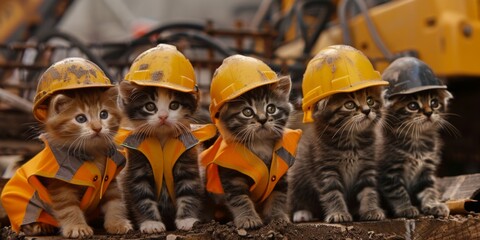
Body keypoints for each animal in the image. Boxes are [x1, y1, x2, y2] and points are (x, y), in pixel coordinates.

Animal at [0, 87, 132, 237]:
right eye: (80, 118)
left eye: (104, 114)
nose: (97, 128)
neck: (92, 153)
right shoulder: (60, 186)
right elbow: (69, 208)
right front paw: (77, 227)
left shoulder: (109, 182)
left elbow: (115, 202)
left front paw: (117, 223)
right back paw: (40, 225)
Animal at [118, 81, 204, 233]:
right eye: (150, 106)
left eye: (174, 105)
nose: (163, 116)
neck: (162, 138)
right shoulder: (136, 167)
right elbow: (142, 197)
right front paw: (151, 223)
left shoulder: (188, 161)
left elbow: (189, 191)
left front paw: (187, 220)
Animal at [209, 76, 294, 229]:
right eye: (247, 112)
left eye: (271, 108)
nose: (262, 119)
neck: (260, 144)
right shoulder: (233, 178)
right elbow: (240, 199)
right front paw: (248, 218)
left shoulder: (279, 176)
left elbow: (278, 197)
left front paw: (278, 217)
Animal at [288, 86, 386, 223]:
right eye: (349, 105)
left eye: (370, 101)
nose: (367, 110)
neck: (351, 142)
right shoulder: (325, 169)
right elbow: (332, 193)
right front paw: (338, 213)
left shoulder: (367, 167)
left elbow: (368, 190)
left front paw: (371, 210)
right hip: (297, 176)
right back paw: (302, 213)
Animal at [378, 89, 454, 218]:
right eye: (412, 106)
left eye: (434, 103)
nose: (429, 113)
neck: (417, 140)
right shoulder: (389, 172)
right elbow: (398, 192)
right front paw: (406, 208)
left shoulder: (426, 170)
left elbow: (429, 189)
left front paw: (433, 205)